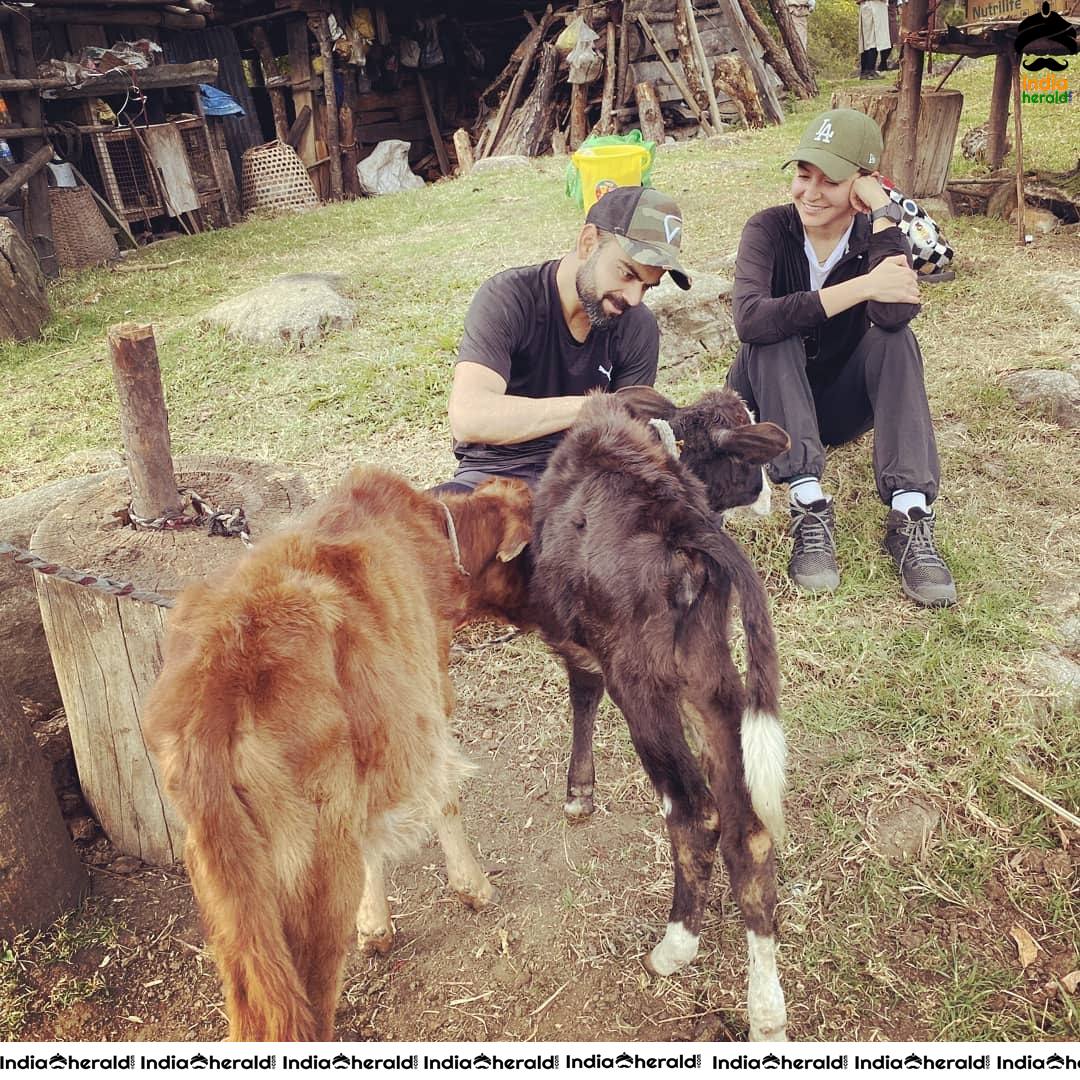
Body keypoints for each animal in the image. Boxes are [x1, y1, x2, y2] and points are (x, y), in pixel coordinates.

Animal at [143, 468, 531, 1041]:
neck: (432, 533)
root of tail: (219, 679)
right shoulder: (428, 700)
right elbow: (446, 796)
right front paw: (473, 888)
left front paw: (375, 927)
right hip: (315, 876)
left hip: (231, 898)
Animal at [533, 393, 794, 1041]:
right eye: (747, 463)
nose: (770, 494)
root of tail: (681, 521)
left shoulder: (583, 647)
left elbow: (581, 691)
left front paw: (578, 794)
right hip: (714, 681)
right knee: (748, 828)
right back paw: (766, 1012)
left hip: (643, 688)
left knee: (695, 813)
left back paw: (675, 947)